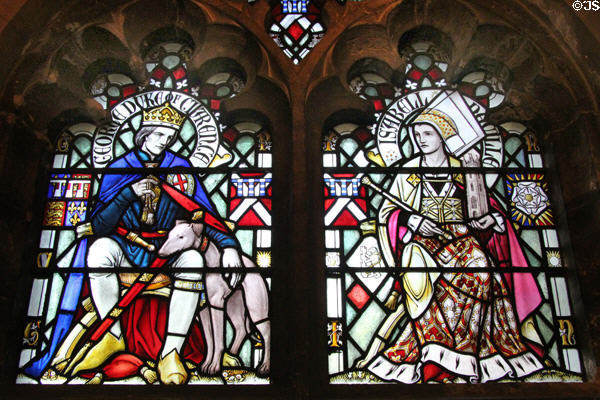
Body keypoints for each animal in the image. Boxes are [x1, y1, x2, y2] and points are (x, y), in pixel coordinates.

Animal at [159, 220, 272, 376]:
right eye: (169, 235)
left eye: (181, 237)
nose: (160, 252)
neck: (210, 261)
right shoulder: (204, 307)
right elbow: (210, 340)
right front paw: (206, 364)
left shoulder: (215, 303)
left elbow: (218, 340)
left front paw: (214, 367)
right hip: (234, 304)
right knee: (241, 328)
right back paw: (231, 358)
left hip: (255, 307)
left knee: (266, 331)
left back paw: (264, 366)